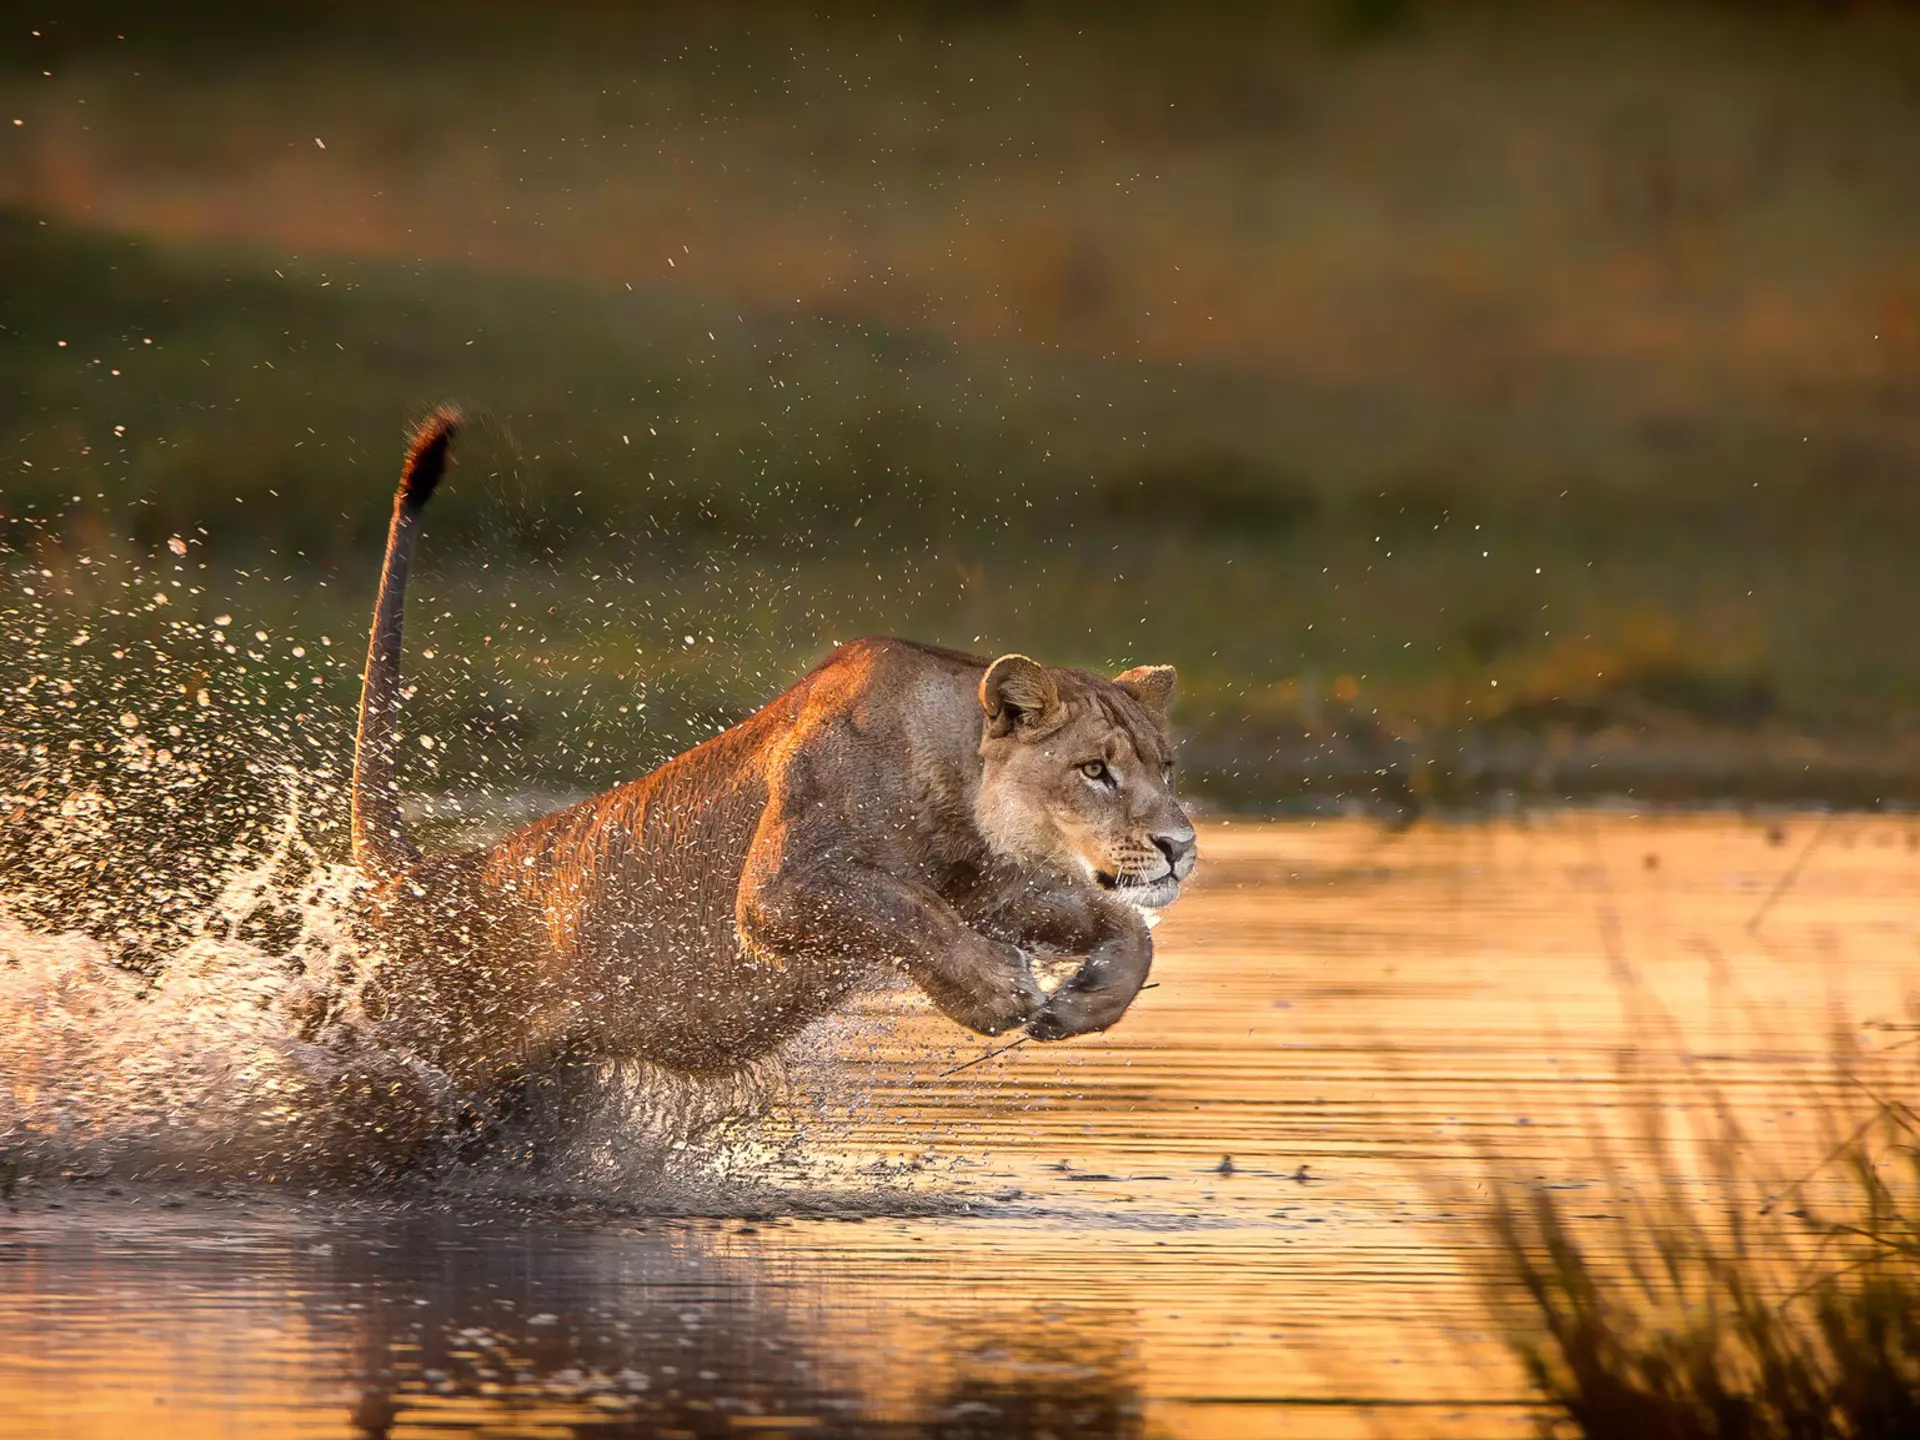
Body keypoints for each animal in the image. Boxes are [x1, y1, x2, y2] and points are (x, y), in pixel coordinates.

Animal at [348, 410, 1197, 1096]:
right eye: (1095, 770)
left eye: (1165, 767)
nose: (1181, 846)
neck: (962, 806)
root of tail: (416, 880)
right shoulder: (779, 887)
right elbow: (899, 908)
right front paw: (992, 989)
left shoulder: (999, 890)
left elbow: (1128, 930)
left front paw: (1084, 1000)